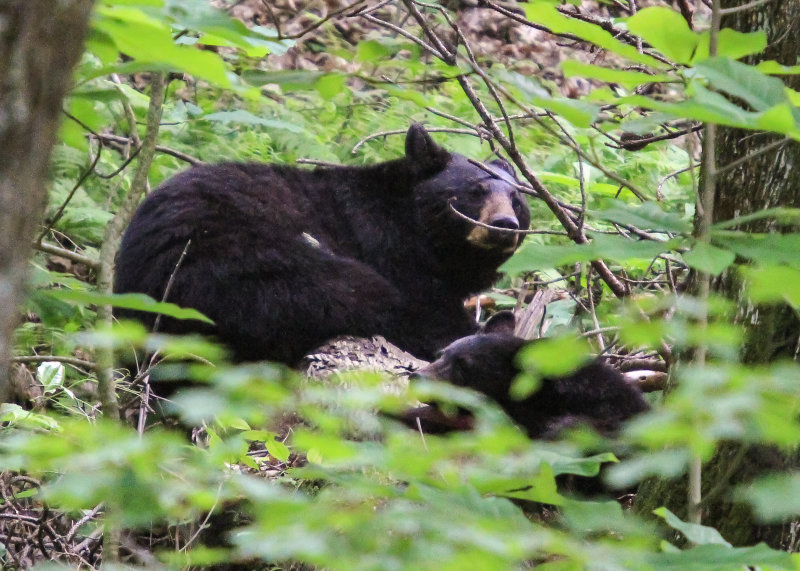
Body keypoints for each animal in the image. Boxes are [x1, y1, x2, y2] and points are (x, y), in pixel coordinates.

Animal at [115, 124, 532, 366]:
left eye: (516, 200)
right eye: (474, 192)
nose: (504, 225)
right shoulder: (392, 252)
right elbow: (428, 312)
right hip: (244, 263)